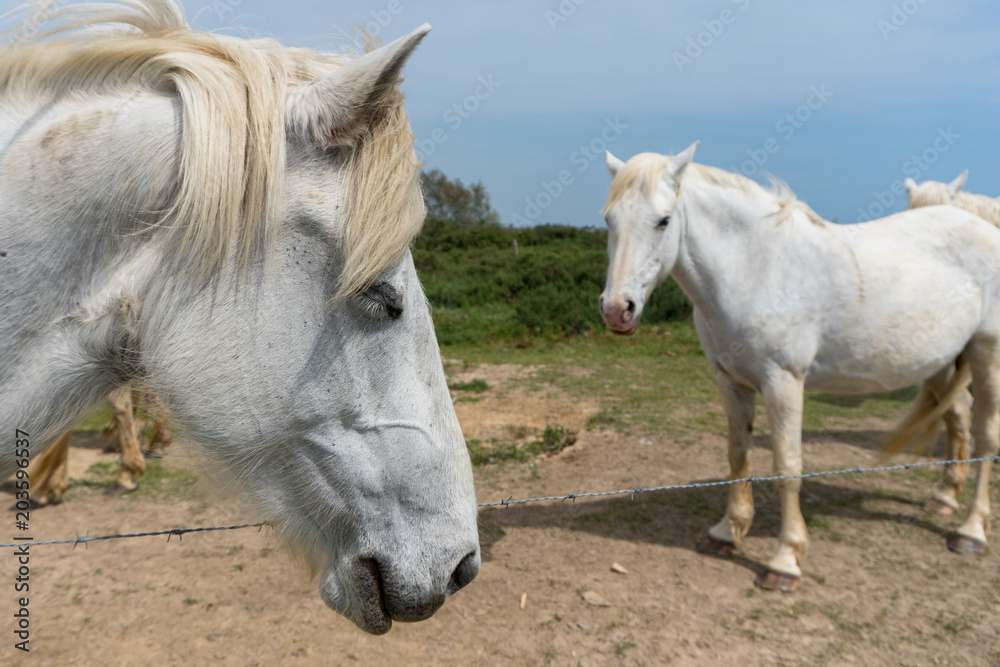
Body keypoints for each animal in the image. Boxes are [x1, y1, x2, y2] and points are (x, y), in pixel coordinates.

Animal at [598, 142, 1000, 591]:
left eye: (664, 220)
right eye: (609, 218)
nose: (616, 310)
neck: (756, 267)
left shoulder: (783, 383)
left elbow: (787, 467)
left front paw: (785, 561)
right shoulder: (730, 382)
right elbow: (737, 455)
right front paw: (727, 532)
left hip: (986, 352)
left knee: (986, 435)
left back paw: (971, 532)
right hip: (942, 362)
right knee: (959, 418)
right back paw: (945, 499)